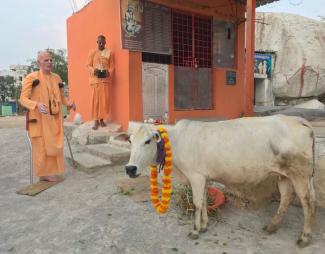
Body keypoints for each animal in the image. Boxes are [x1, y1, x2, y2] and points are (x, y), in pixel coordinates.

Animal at [124, 115, 314, 248]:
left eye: (147, 141)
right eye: (130, 141)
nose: (130, 168)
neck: (177, 142)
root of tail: (298, 120)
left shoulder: (195, 176)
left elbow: (197, 204)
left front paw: (195, 231)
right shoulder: (204, 177)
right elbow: (204, 202)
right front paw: (204, 226)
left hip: (300, 175)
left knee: (307, 203)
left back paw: (304, 237)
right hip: (285, 175)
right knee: (286, 198)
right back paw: (272, 227)